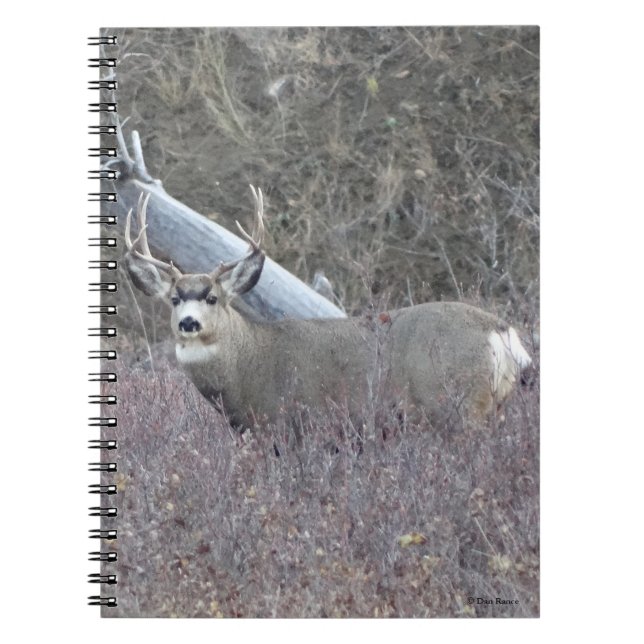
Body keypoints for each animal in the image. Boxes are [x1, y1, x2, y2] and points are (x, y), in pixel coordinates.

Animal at [123, 187, 532, 431]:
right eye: (174, 299)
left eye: (212, 297)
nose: (189, 323)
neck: (249, 366)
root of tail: (501, 332)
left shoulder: (295, 424)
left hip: (459, 406)